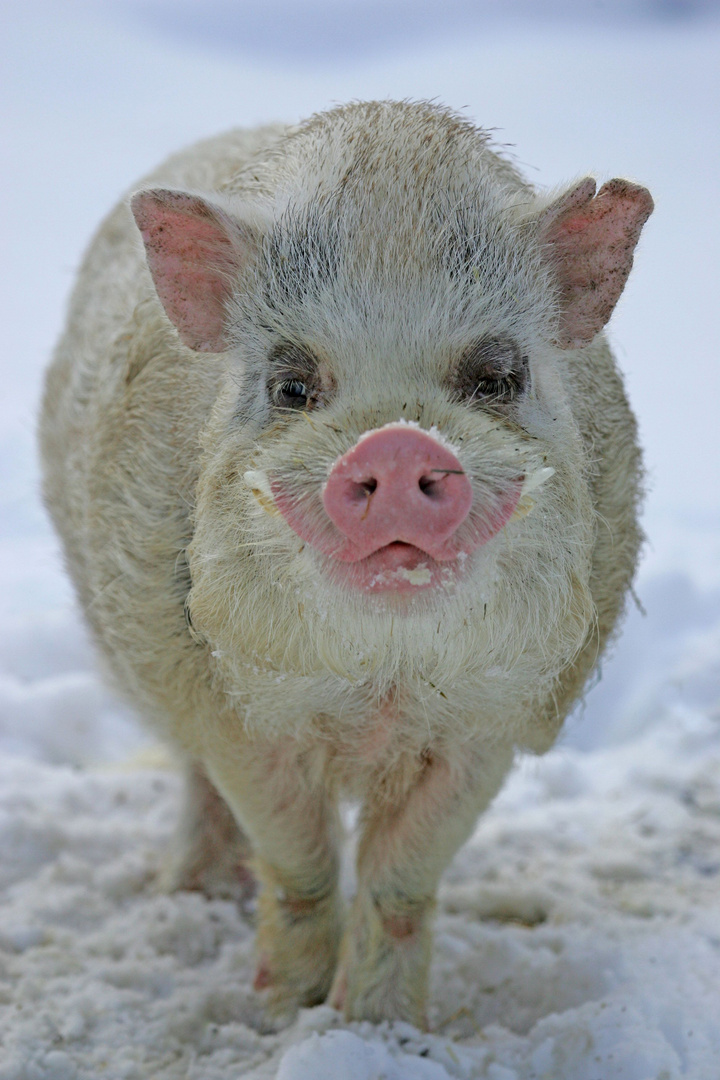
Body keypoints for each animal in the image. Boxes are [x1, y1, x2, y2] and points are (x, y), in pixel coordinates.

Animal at [42, 101, 656, 1028]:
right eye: (293, 387)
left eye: (497, 376)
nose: (397, 442)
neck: (382, 693)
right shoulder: (235, 712)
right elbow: (295, 860)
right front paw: (283, 1014)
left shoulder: (493, 720)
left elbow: (402, 878)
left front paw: (380, 1027)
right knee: (193, 780)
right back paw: (196, 892)